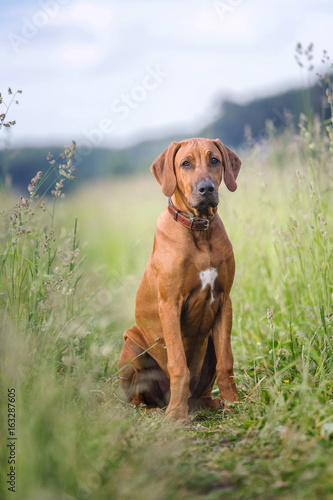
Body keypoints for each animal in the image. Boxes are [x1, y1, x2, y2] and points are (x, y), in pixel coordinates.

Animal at [118, 137, 240, 422]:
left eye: (214, 160)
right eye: (185, 163)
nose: (206, 188)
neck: (199, 230)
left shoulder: (224, 301)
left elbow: (226, 362)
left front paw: (235, 403)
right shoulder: (170, 305)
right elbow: (178, 364)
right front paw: (176, 414)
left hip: (209, 344)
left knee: (206, 387)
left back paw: (212, 403)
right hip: (131, 345)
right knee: (136, 399)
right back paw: (155, 411)